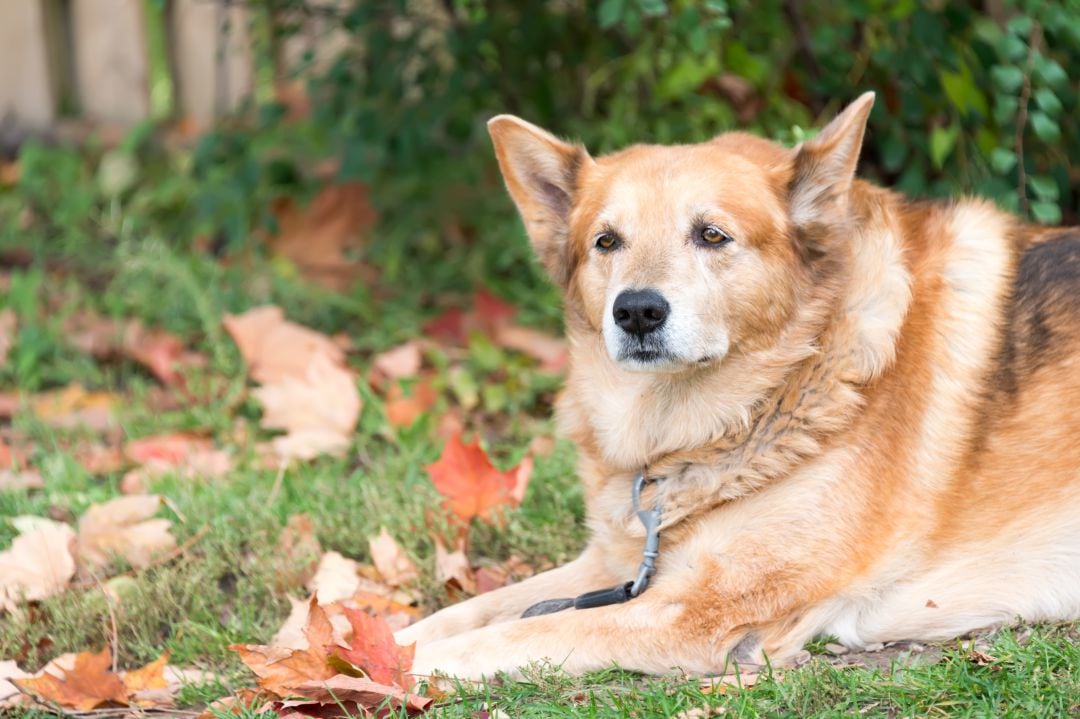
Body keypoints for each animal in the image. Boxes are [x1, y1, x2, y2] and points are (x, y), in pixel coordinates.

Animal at [397, 91, 1080, 677]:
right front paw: (382, 640)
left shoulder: (695, 612)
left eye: (711, 235)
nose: (636, 311)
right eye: (606, 242)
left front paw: (398, 668)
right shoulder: (613, 566)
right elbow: (461, 614)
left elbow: (508, 634)